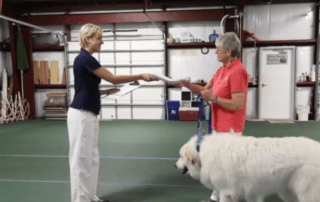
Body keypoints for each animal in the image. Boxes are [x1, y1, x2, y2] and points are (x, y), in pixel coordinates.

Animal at [176, 134, 320, 202]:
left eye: (181, 156)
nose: (175, 165)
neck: (202, 151)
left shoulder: (227, 192)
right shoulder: (252, 192)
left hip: (306, 191)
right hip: (288, 192)